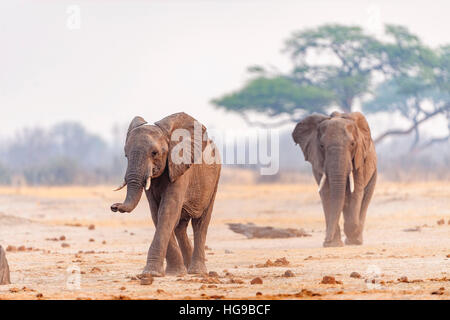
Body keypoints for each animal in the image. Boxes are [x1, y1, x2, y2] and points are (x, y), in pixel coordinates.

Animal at [110, 113, 221, 278]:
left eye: (154, 153)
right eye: (126, 155)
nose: (114, 206)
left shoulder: (180, 167)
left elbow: (167, 211)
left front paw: (152, 273)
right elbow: (157, 213)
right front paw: (174, 273)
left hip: (214, 180)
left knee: (200, 223)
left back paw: (196, 271)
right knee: (180, 226)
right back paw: (187, 268)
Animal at [292, 112, 376, 248]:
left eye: (352, 144)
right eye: (321, 146)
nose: (325, 240)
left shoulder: (359, 160)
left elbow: (355, 191)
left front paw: (352, 232)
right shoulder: (318, 162)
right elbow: (327, 193)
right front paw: (333, 244)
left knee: (365, 199)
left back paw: (355, 240)